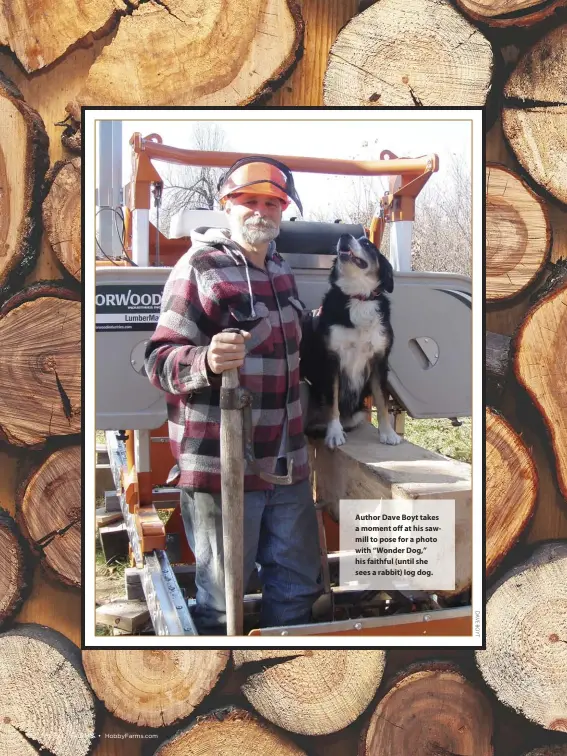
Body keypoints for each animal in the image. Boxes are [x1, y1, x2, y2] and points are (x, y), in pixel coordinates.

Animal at [300, 233, 402, 448]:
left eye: (368, 244)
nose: (344, 235)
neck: (358, 297)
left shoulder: (379, 361)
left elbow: (382, 401)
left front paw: (388, 433)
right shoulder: (331, 359)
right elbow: (333, 402)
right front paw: (334, 433)